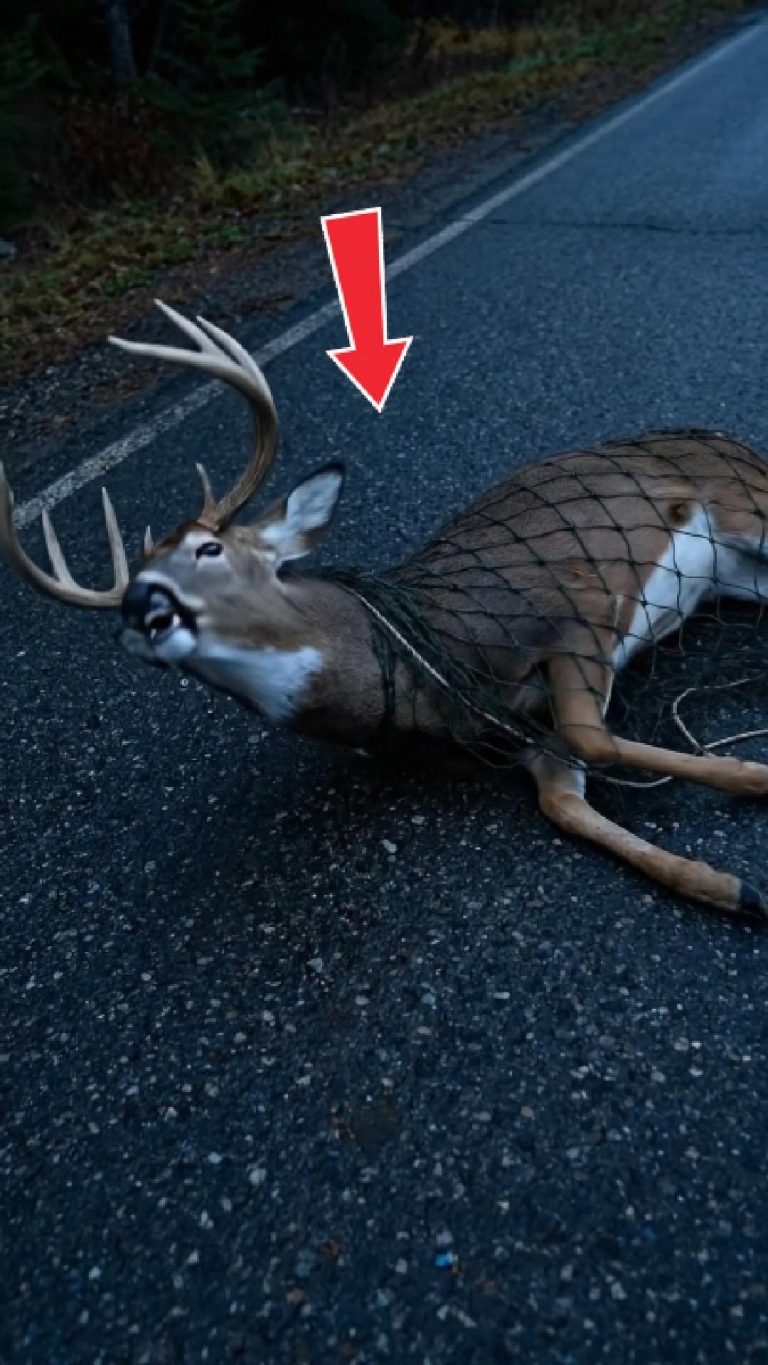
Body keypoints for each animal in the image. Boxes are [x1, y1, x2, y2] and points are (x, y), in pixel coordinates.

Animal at [2, 302, 768, 920]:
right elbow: (563, 801)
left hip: (747, 513)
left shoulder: (572, 608)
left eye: (209, 547)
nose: (140, 606)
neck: (413, 664)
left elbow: (594, 739)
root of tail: (735, 441)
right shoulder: (520, 734)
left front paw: (755, 781)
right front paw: (732, 887)